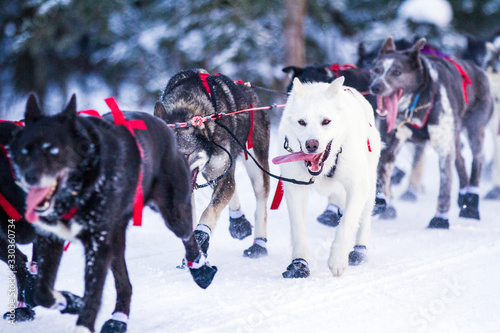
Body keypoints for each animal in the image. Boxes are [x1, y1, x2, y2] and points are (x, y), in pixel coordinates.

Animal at [9, 94, 217, 332]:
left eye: (53, 150)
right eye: (25, 151)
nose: (29, 178)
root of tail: (164, 125)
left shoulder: (98, 245)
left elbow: (93, 295)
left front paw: (83, 322)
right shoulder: (51, 238)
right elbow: (42, 293)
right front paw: (72, 301)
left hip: (173, 213)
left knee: (188, 236)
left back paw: (200, 270)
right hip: (117, 238)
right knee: (124, 282)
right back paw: (118, 319)